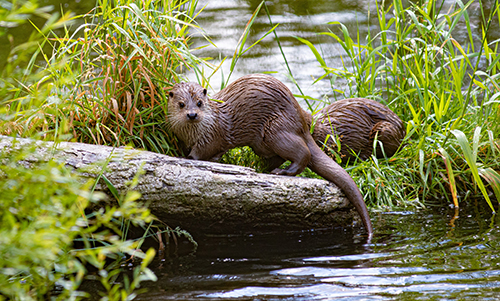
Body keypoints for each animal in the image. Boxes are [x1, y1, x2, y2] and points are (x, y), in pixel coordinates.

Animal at [168, 73, 372, 234]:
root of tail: (301, 121)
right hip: (262, 143)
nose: (192, 115)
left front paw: (187, 158)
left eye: (199, 103)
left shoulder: (212, 135)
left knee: (303, 152)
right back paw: (262, 168)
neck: (193, 132)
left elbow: (203, 151)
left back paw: (282, 172)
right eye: (181, 104)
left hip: (275, 130)